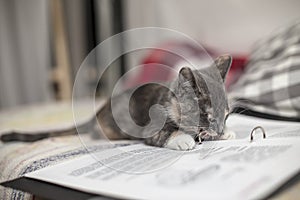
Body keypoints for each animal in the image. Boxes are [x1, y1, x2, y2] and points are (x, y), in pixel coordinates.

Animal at [96, 54, 234, 150]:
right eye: (209, 117)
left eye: (226, 116)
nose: (220, 131)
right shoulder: (151, 127)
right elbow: (164, 132)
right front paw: (182, 139)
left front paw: (226, 132)